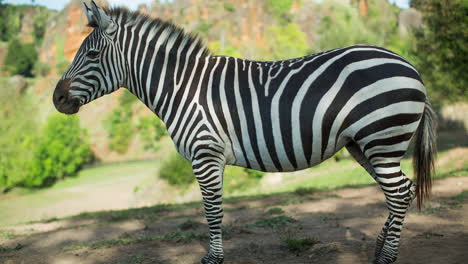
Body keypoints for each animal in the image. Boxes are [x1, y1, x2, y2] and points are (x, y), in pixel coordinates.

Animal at [53, 1, 436, 262]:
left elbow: (212, 210)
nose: (57, 99)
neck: (182, 87)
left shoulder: (205, 154)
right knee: (401, 190)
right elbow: (215, 209)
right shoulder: (213, 157)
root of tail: (409, 65)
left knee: (398, 192)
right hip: (365, 145)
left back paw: (386, 257)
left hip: (381, 139)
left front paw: (213, 259)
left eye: (91, 54)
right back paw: (379, 248)